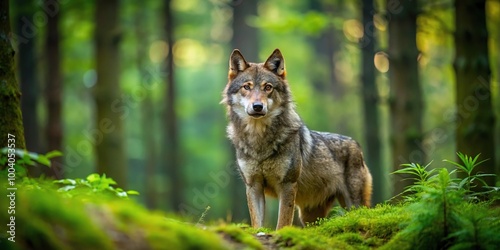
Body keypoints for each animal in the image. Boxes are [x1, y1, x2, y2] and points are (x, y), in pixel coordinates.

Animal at [222, 47, 372, 229]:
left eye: (268, 87)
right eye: (247, 87)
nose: (257, 106)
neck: (259, 140)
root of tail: (356, 144)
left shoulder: (287, 185)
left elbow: (282, 222)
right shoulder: (253, 186)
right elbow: (257, 224)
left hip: (353, 204)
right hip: (308, 216)